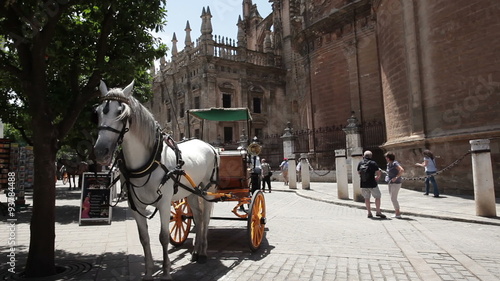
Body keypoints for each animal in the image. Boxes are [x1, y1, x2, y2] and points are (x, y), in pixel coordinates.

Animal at [94, 80, 219, 278]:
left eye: (121, 113)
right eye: (98, 112)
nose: (100, 152)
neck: (149, 162)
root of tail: (208, 145)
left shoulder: (164, 203)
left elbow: (163, 237)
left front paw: (166, 271)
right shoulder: (135, 206)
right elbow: (144, 238)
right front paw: (148, 272)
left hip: (208, 189)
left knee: (205, 218)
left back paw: (204, 253)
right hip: (192, 192)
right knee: (198, 218)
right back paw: (195, 252)